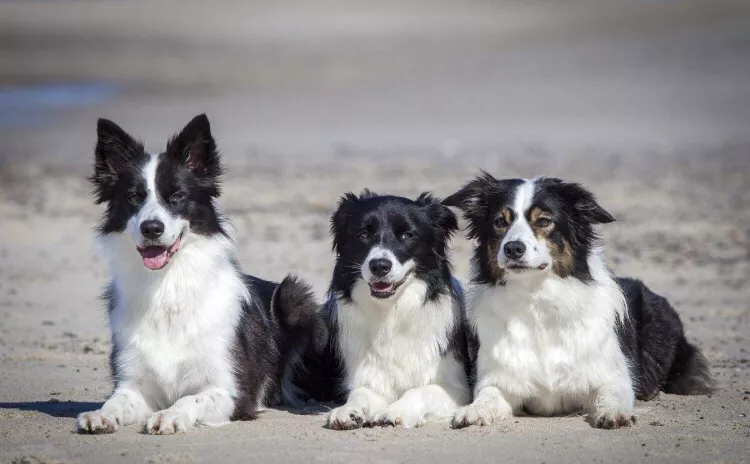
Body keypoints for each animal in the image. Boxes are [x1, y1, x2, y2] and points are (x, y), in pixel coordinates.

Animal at [78, 112, 328, 436]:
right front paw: (100, 415)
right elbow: (116, 401)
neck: (168, 286)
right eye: (134, 197)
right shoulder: (133, 383)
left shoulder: (231, 390)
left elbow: (190, 399)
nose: (151, 228)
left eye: (177, 196)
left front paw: (169, 416)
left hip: (293, 297)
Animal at [446, 174, 716, 432]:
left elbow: (611, 394)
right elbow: (487, 395)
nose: (513, 248)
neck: (536, 300)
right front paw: (472, 411)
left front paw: (615, 413)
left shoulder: (612, 376)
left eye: (543, 221)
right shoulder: (501, 380)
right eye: (499, 221)